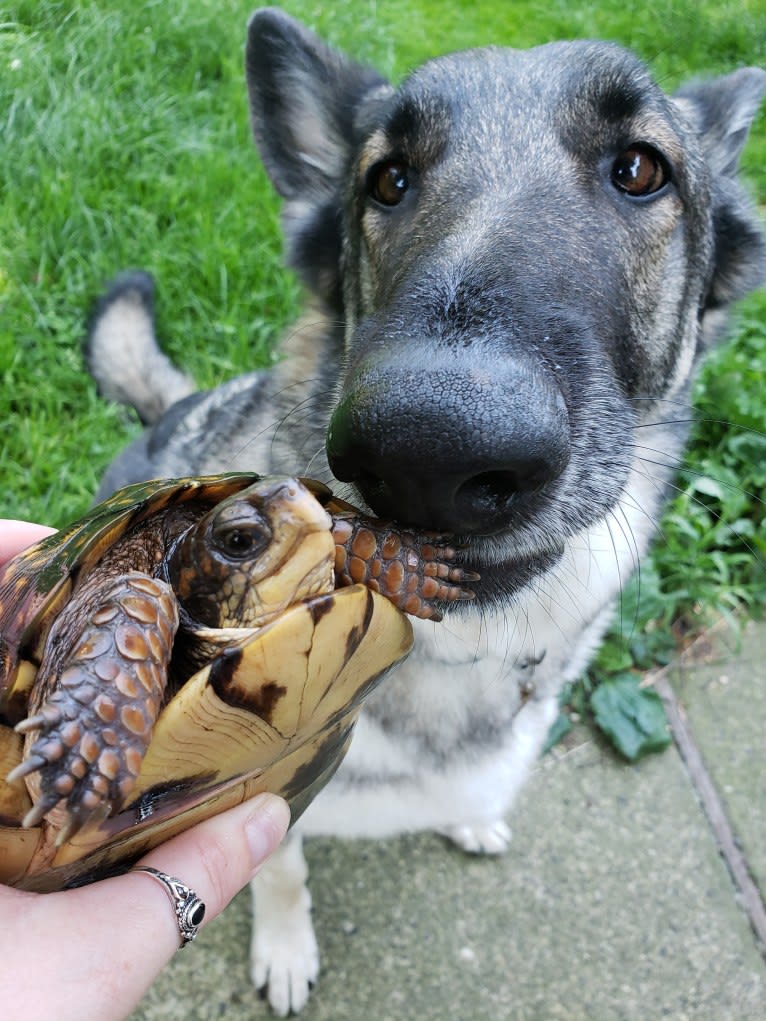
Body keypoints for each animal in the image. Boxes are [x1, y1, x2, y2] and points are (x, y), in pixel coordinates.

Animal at [85, 7, 766, 1012]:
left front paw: (472, 818)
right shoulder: (264, 805)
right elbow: (282, 869)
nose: (428, 453)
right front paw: (285, 947)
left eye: (642, 169)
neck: (460, 654)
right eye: (389, 179)